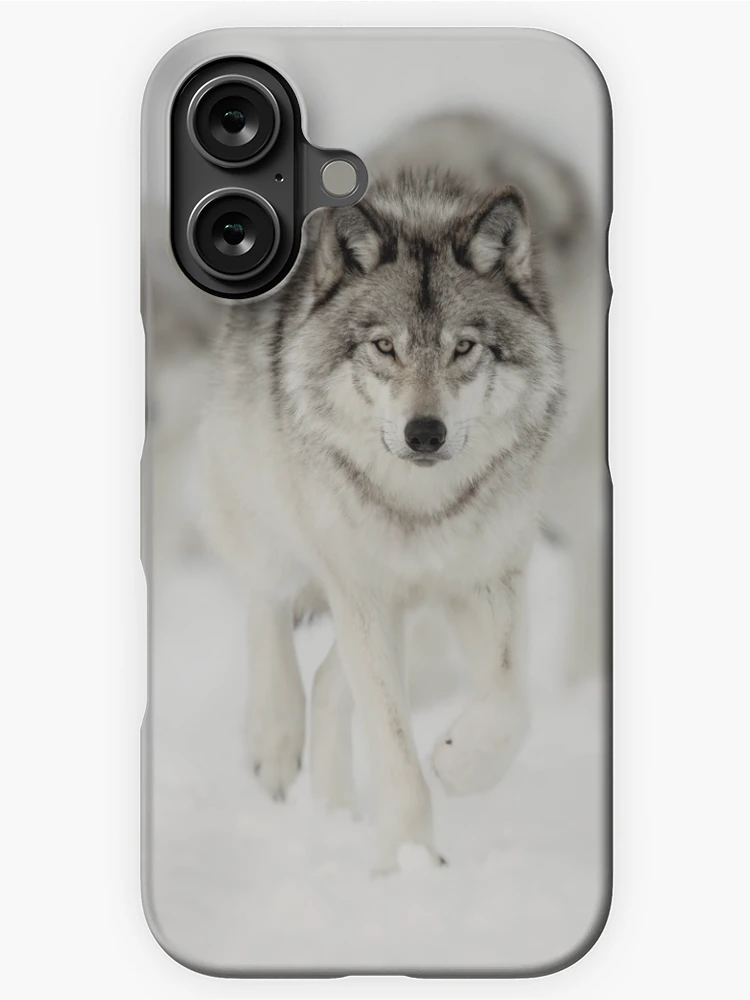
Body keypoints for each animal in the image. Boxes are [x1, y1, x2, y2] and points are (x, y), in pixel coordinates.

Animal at [198, 133, 566, 871]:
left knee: (330, 684)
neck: (423, 507)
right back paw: (274, 740)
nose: (425, 433)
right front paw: (408, 859)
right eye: (384, 346)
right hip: (275, 519)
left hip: (408, 615)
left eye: (463, 347)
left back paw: (334, 811)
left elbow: (511, 704)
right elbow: (393, 746)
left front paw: (459, 764)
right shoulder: (361, 591)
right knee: (268, 600)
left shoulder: (488, 579)